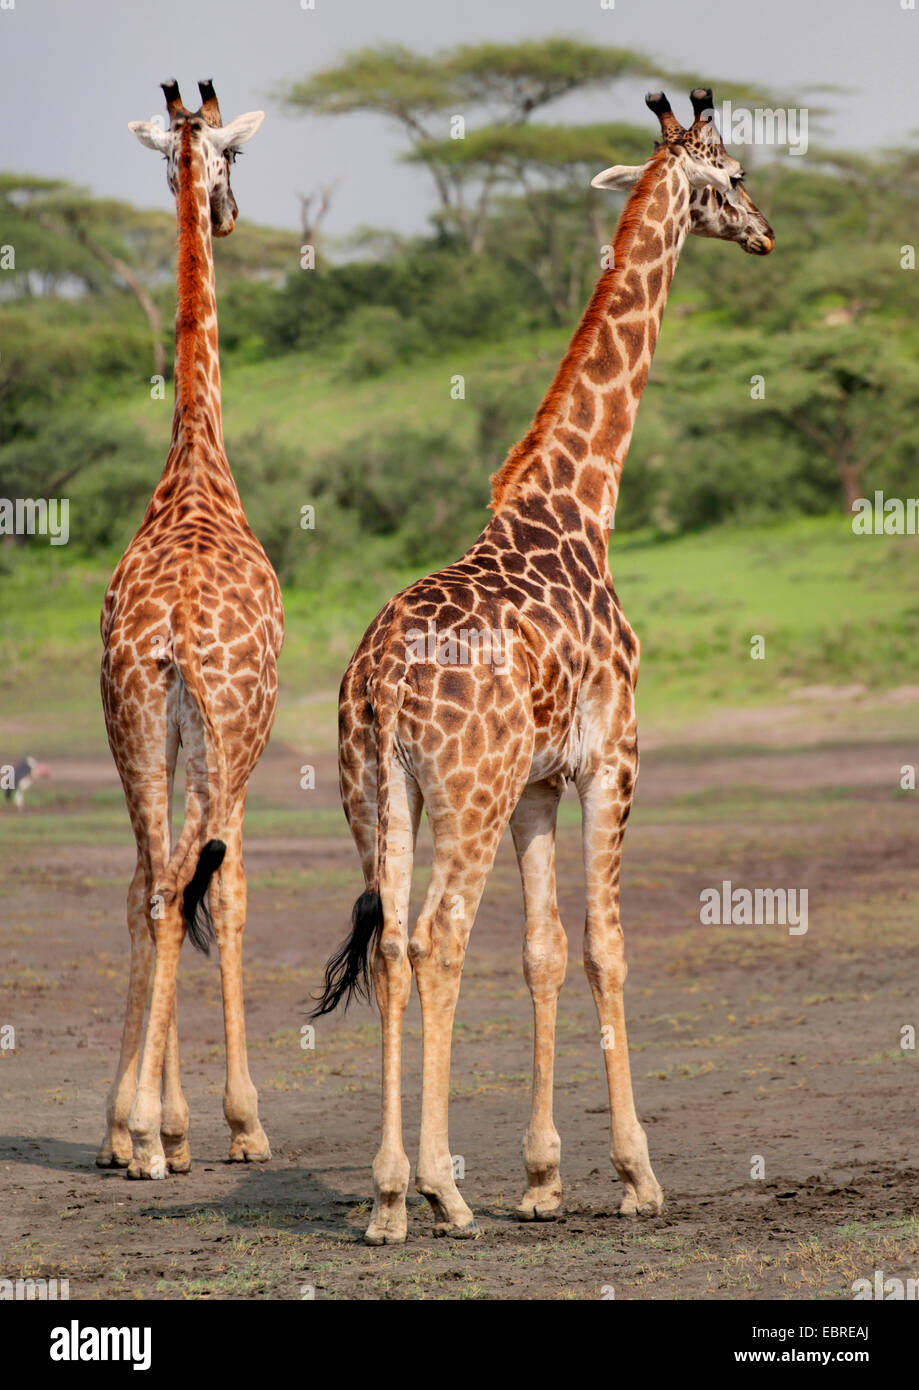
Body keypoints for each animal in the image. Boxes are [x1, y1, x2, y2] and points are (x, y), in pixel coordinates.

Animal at [314, 88, 774, 1244]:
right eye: (735, 173)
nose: (764, 233)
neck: (579, 505)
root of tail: (379, 681)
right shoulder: (613, 757)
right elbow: (606, 947)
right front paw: (636, 1176)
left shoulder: (534, 786)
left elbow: (543, 952)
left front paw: (540, 1178)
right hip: (462, 793)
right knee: (435, 940)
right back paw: (438, 1189)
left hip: (373, 791)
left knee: (391, 945)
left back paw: (389, 1194)